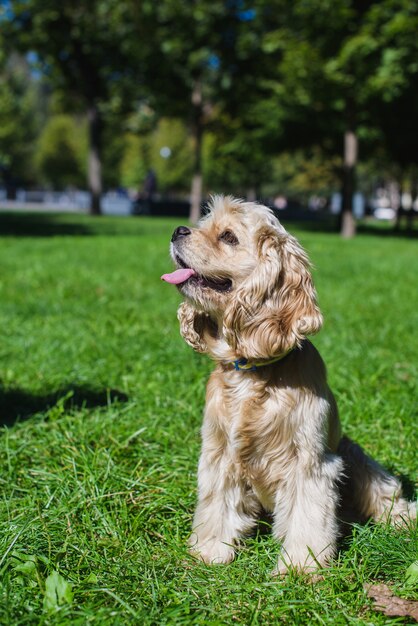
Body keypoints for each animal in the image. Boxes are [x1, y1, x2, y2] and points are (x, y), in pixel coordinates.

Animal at [162, 195, 414, 572]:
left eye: (228, 236)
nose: (178, 230)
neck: (252, 371)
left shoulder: (308, 462)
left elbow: (307, 516)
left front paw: (300, 567)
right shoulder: (219, 451)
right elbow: (217, 505)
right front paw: (210, 551)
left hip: (354, 456)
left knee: (388, 494)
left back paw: (404, 521)